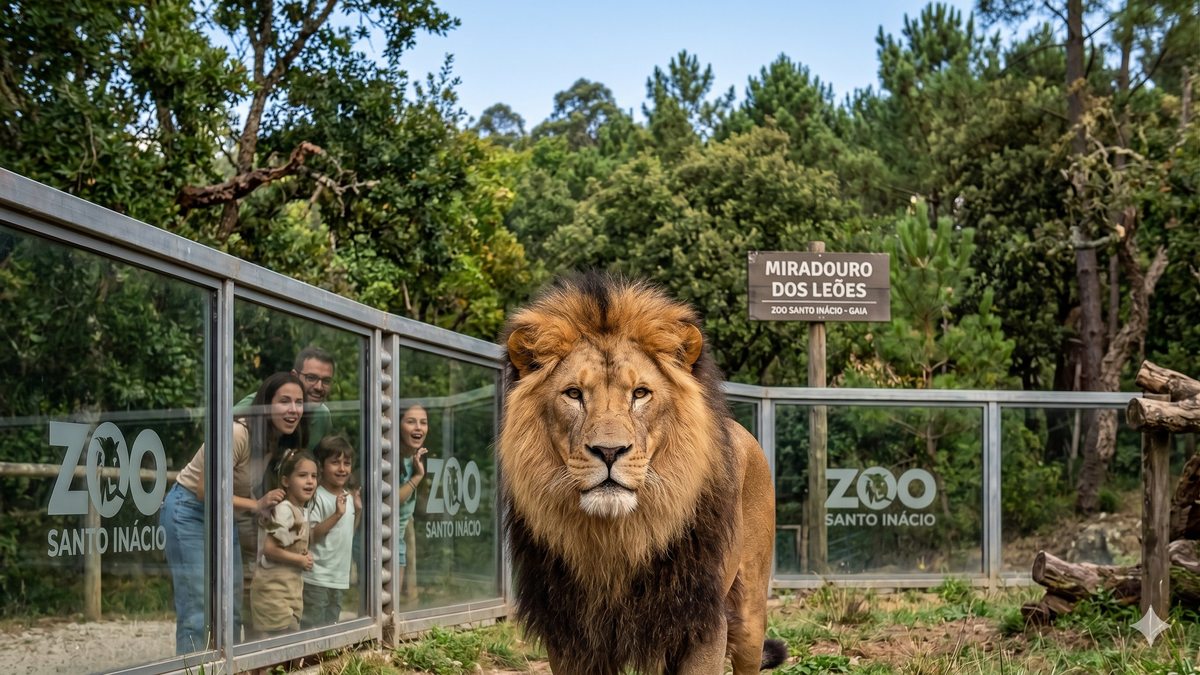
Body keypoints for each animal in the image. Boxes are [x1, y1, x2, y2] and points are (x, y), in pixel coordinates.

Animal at [498, 273, 786, 674]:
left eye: (640, 393)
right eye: (573, 393)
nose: (608, 451)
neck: (618, 539)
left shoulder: (702, 621)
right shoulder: (570, 633)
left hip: (749, 616)